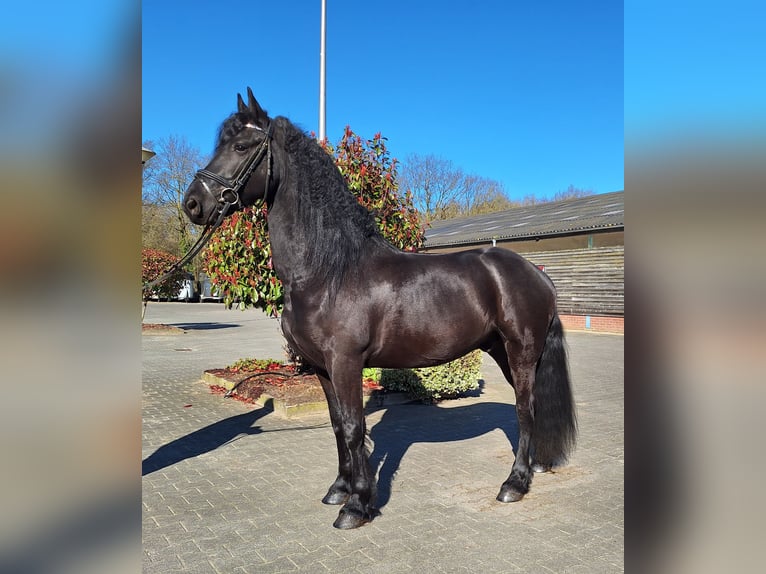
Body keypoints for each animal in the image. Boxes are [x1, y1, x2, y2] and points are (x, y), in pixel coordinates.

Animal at [183, 88, 577, 529]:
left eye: (240, 146)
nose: (193, 204)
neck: (328, 269)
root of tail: (537, 274)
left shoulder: (346, 362)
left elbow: (355, 428)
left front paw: (357, 506)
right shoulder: (322, 367)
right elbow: (338, 426)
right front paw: (339, 490)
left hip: (521, 351)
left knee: (526, 409)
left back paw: (515, 483)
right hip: (503, 351)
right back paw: (534, 467)